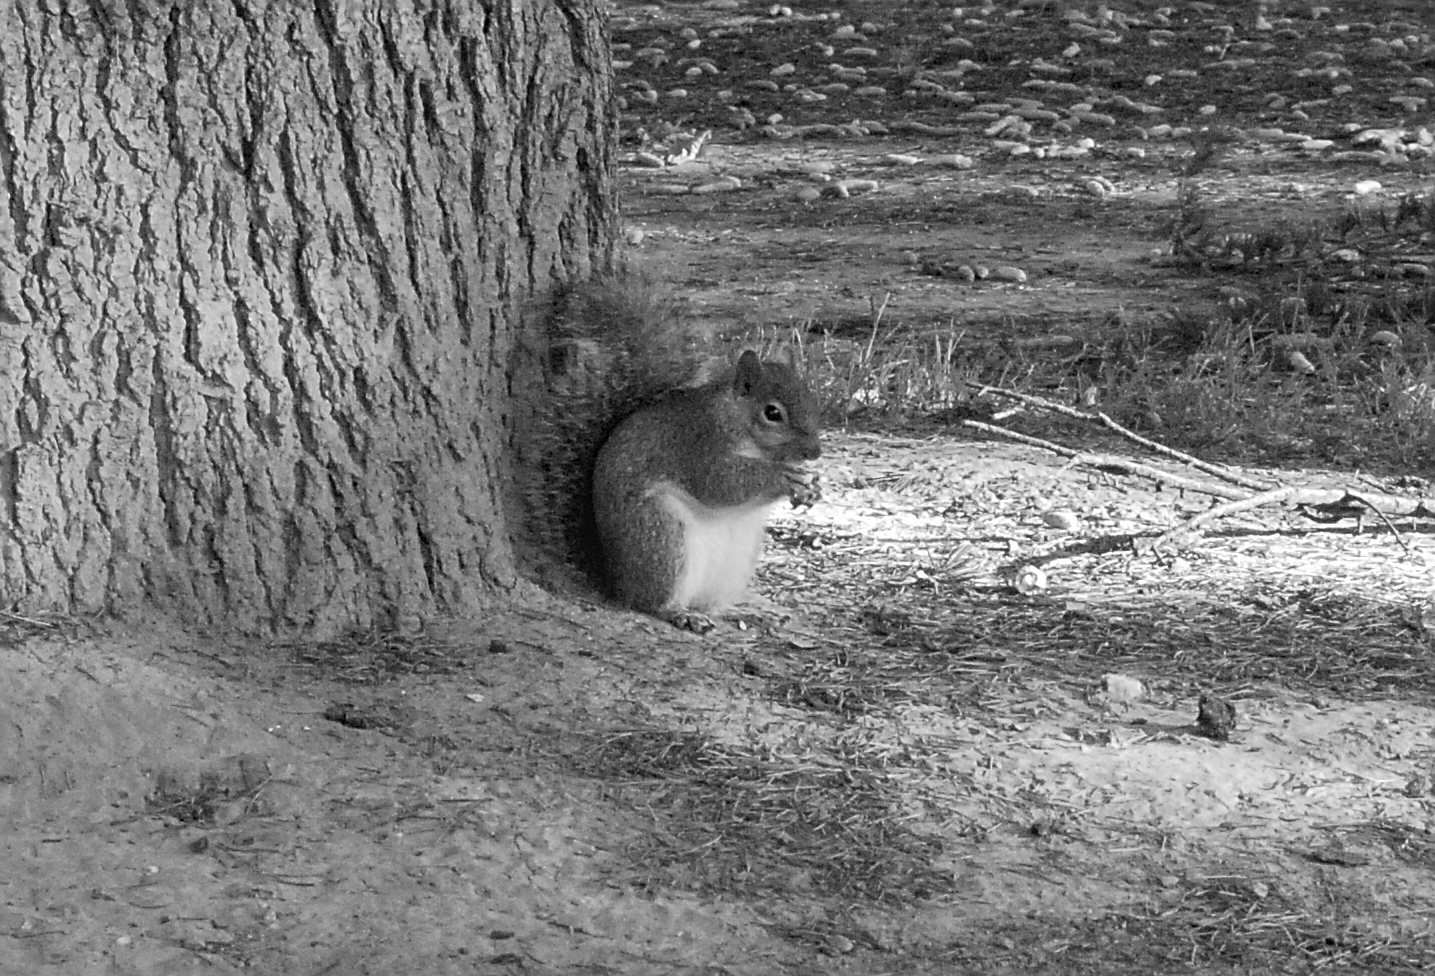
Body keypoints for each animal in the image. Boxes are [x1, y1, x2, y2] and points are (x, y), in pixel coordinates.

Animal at [515, 272, 822, 631]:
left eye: (810, 398)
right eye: (772, 413)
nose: (815, 452)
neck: (738, 422)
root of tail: (617, 580)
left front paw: (812, 486)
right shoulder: (698, 444)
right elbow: (720, 483)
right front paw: (784, 478)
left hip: (737, 558)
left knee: (711, 604)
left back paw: (744, 611)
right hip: (661, 536)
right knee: (651, 601)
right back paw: (680, 613)